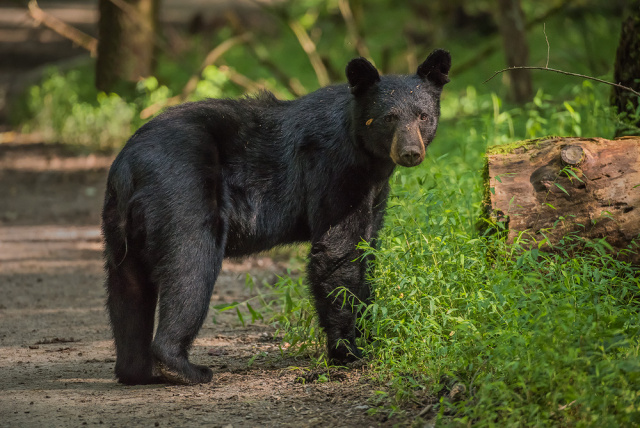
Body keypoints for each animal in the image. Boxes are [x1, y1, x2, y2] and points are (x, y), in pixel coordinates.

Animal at [101, 49, 450, 384]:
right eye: (389, 118)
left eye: (423, 115)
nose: (410, 152)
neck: (368, 156)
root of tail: (128, 165)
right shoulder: (334, 169)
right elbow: (336, 251)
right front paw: (347, 350)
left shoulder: (374, 191)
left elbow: (366, 251)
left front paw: (368, 336)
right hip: (182, 190)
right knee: (190, 266)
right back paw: (182, 367)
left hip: (119, 224)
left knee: (128, 286)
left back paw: (136, 372)